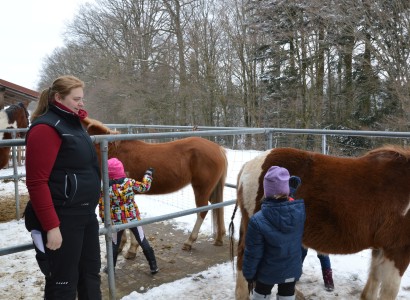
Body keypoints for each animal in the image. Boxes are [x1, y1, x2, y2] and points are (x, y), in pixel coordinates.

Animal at [81, 116, 227, 252]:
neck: (111, 150)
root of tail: (218, 148)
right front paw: (124, 245)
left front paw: (131, 249)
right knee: (217, 206)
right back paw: (219, 238)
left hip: (201, 188)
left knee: (203, 211)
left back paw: (189, 241)